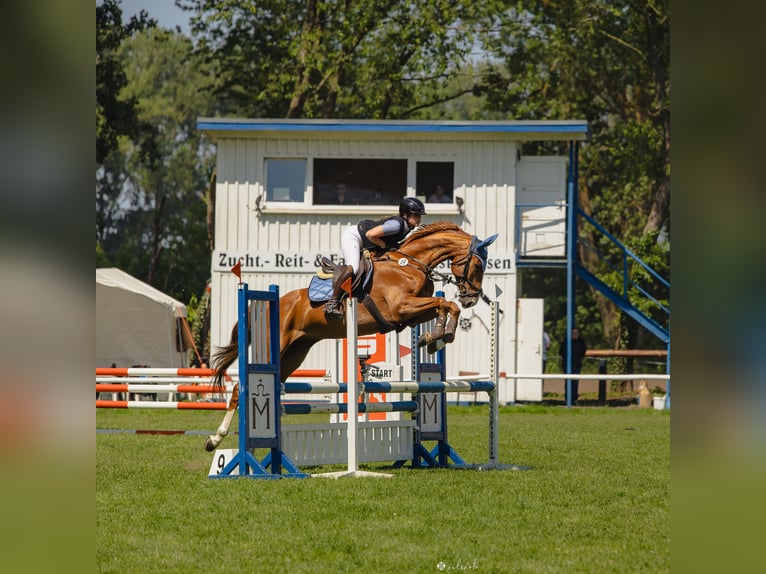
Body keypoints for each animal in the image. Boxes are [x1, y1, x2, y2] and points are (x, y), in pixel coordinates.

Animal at [205, 221, 498, 451]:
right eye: (477, 265)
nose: (471, 299)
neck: (409, 264)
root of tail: (267, 304)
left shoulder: (411, 314)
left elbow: (446, 306)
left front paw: (434, 337)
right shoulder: (401, 307)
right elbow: (446, 304)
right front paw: (439, 334)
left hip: (295, 353)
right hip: (274, 346)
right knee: (238, 388)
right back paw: (215, 439)